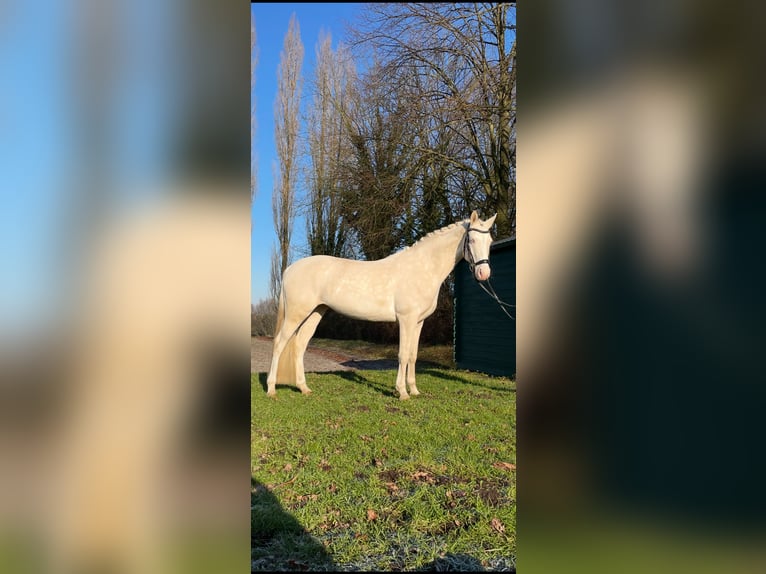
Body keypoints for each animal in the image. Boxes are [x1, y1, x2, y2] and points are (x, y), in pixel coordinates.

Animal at [268, 212, 498, 400]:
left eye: (490, 240)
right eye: (472, 239)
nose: (483, 273)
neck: (421, 268)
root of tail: (289, 269)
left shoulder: (419, 322)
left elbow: (413, 355)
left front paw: (414, 390)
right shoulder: (406, 320)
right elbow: (403, 355)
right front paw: (402, 392)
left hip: (316, 313)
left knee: (299, 345)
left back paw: (304, 388)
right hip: (296, 314)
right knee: (279, 343)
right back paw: (271, 389)